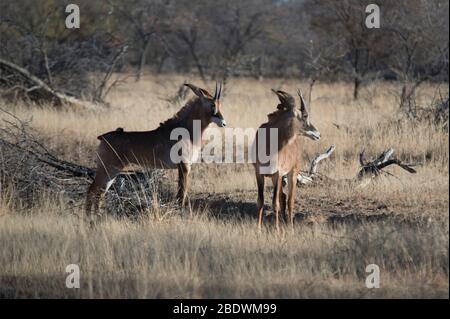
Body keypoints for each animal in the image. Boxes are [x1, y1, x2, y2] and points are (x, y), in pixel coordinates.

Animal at [84, 84, 225, 220]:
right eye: (212, 105)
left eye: (219, 104)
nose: (223, 122)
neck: (187, 130)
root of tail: (102, 137)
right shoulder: (184, 166)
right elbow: (181, 194)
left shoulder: (185, 166)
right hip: (107, 168)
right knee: (92, 190)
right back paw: (89, 218)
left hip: (113, 171)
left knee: (100, 192)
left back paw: (97, 216)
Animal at [253, 89, 320, 231]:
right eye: (305, 115)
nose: (317, 134)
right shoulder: (259, 173)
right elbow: (260, 201)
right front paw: (258, 230)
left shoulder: (277, 174)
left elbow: (275, 203)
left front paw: (277, 230)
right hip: (277, 178)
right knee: (283, 197)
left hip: (291, 174)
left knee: (290, 199)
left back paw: (290, 226)